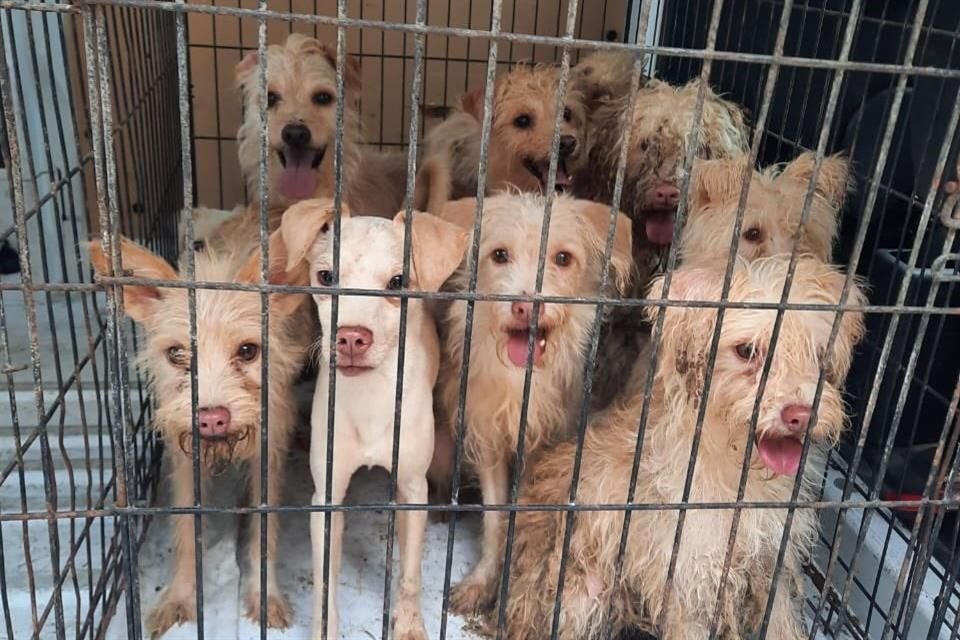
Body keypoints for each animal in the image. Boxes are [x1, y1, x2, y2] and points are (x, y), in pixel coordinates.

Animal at [88, 229, 310, 636]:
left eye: (248, 350)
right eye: (176, 354)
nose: (212, 419)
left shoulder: (268, 451)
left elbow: (265, 529)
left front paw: (264, 596)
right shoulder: (183, 455)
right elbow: (185, 530)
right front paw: (179, 597)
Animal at [278, 198, 468, 636]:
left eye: (398, 282)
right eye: (326, 277)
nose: (351, 337)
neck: (371, 398)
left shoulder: (413, 489)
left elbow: (411, 573)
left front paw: (410, 625)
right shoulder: (326, 497)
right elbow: (325, 580)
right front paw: (324, 629)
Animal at [432, 192, 632, 616]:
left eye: (563, 258)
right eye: (499, 255)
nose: (528, 307)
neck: (521, 380)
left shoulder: (547, 446)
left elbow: (522, 511)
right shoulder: (487, 439)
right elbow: (496, 517)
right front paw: (484, 581)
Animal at [498, 255, 868, 640]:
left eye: (818, 353)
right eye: (747, 351)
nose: (801, 415)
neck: (738, 474)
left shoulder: (772, 567)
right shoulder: (685, 585)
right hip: (584, 591)